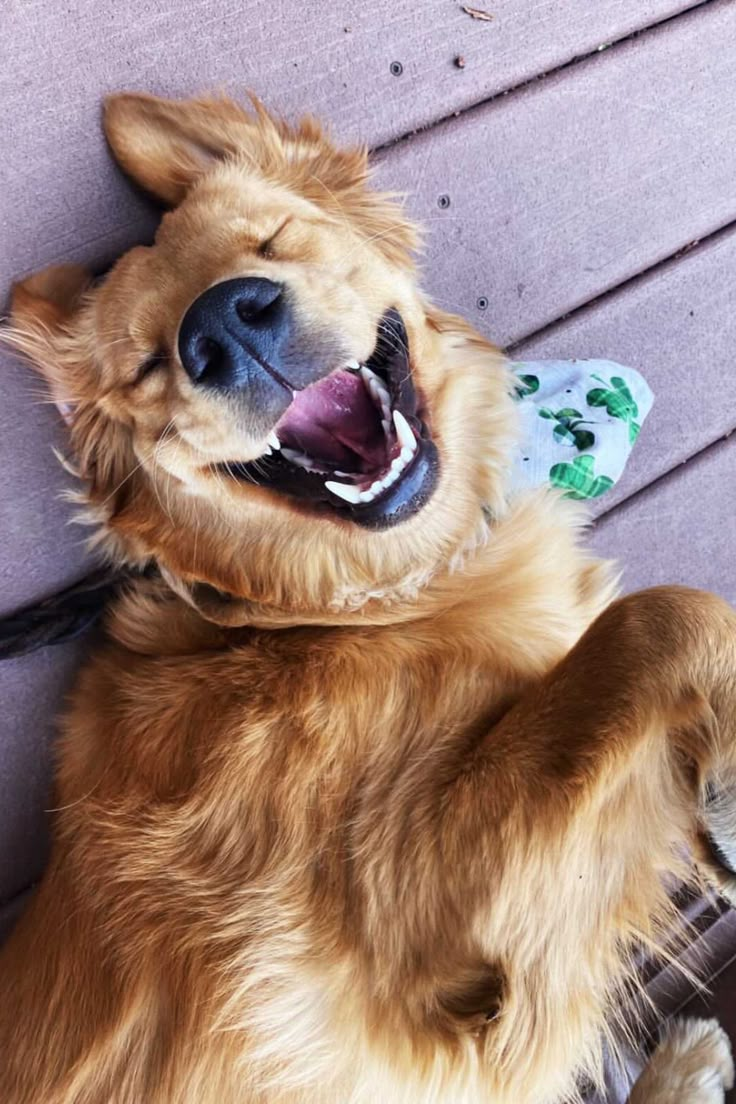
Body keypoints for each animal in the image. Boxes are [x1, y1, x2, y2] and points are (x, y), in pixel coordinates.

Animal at [1, 92, 736, 1104]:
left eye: (273, 240)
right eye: (148, 366)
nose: (222, 327)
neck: (337, 609)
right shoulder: (426, 920)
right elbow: (668, 614)